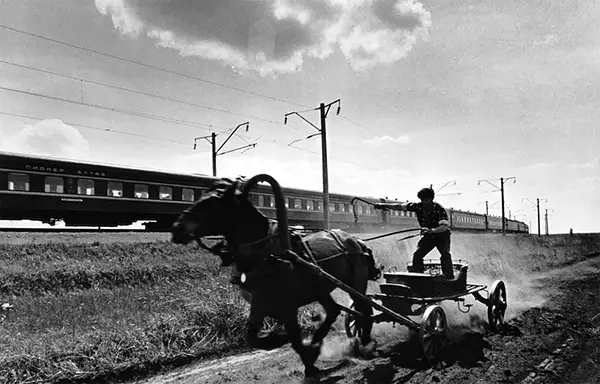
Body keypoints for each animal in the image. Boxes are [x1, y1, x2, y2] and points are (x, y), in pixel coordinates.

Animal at [171, 176, 382, 378]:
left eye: (214, 202)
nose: (177, 228)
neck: (266, 254)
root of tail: (357, 241)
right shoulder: (259, 304)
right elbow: (253, 338)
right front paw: (297, 350)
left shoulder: (288, 306)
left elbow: (295, 337)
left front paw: (306, 358)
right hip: (321, 286)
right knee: (334, 311)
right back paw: (327, 341)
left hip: (355, 282)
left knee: (364, 309)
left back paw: (364, 341)